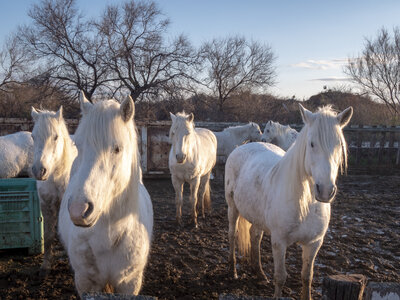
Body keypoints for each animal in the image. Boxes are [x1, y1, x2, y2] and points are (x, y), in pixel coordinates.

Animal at [30, 106, 77, 278]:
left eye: (56, 137)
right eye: (33, 136)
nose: (39, 170)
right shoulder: (46, 205)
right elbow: (49, 236)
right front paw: (45, 267)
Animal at [225, 104, 354, 298]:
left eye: (339, 144)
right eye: (312, 143)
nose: (325, 191)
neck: (306, 205)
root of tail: (244, 146)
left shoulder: (314, 243)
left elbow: (307, 277)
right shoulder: (279, 242)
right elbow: (280, 277)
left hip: (257, 216)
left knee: (255, 237)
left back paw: (259, 273)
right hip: (233, 208)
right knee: (232, 235)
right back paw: (233, 271)